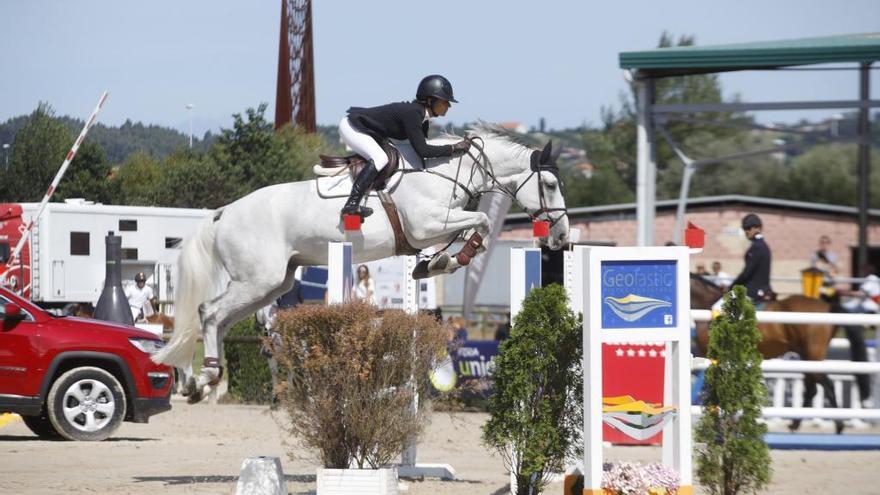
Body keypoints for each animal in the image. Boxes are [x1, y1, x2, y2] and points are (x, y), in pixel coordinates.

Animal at [151, 124, 572, 404]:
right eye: (550, 185)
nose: (562, 237)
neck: (444, 171)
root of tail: (223, 212)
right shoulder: (426, 225)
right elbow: (482, 221)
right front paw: (450, 259)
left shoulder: (431, 228)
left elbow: (471, 226)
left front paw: (435, 263)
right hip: (257, 280)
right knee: (208, 312)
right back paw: (204, 376)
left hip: (272, 285)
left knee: (218, 319)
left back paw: (203, 380)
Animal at [692, 276, 844, 434]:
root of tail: (827, 307)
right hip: (806, 356)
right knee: (813, 387)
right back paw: (796, 424)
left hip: (812, 355)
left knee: (826, 384)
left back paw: (838, 425)